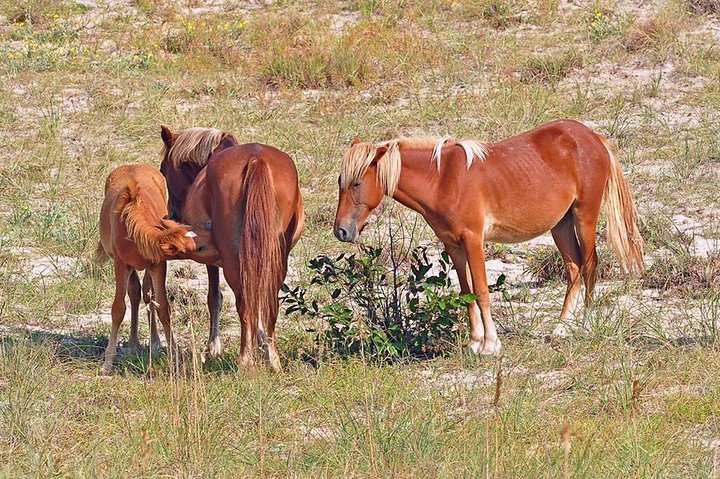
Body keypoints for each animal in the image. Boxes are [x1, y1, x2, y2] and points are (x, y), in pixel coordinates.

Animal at [97, 164, 218, 374]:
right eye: (200, 246)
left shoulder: (158, 265)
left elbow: (162, 306)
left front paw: (175, 357)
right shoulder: (121, 264)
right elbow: (118, 309)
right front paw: (107, 363)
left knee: (146, 294)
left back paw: (153, 342)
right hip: (130, 268)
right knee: (135, 292)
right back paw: (133, 343)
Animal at [160, 127, 305, 371]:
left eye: (163, 170)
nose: (170, 214)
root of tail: (256, 159)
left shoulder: (211, 259)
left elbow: (214, 298)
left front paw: (213, 348)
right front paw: (261, 343)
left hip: (234, 260)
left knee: (244, 303)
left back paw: (245, 360)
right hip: (276, 257)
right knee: (269, 302)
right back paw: (272, 358)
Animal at [333, 119, 645, 355]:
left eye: (356, 183)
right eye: (340, 182)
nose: (341, 231)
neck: (443, 180)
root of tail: (593, 137)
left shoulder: (473, 241)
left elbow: (482, 291)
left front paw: (490, 344)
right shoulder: (452, 245)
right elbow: (466, 292)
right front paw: (474, 342)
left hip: (584, 217)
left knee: (590, 264)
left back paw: (586, 322)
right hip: (561, 225)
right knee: (574, 269)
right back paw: (562, 326)